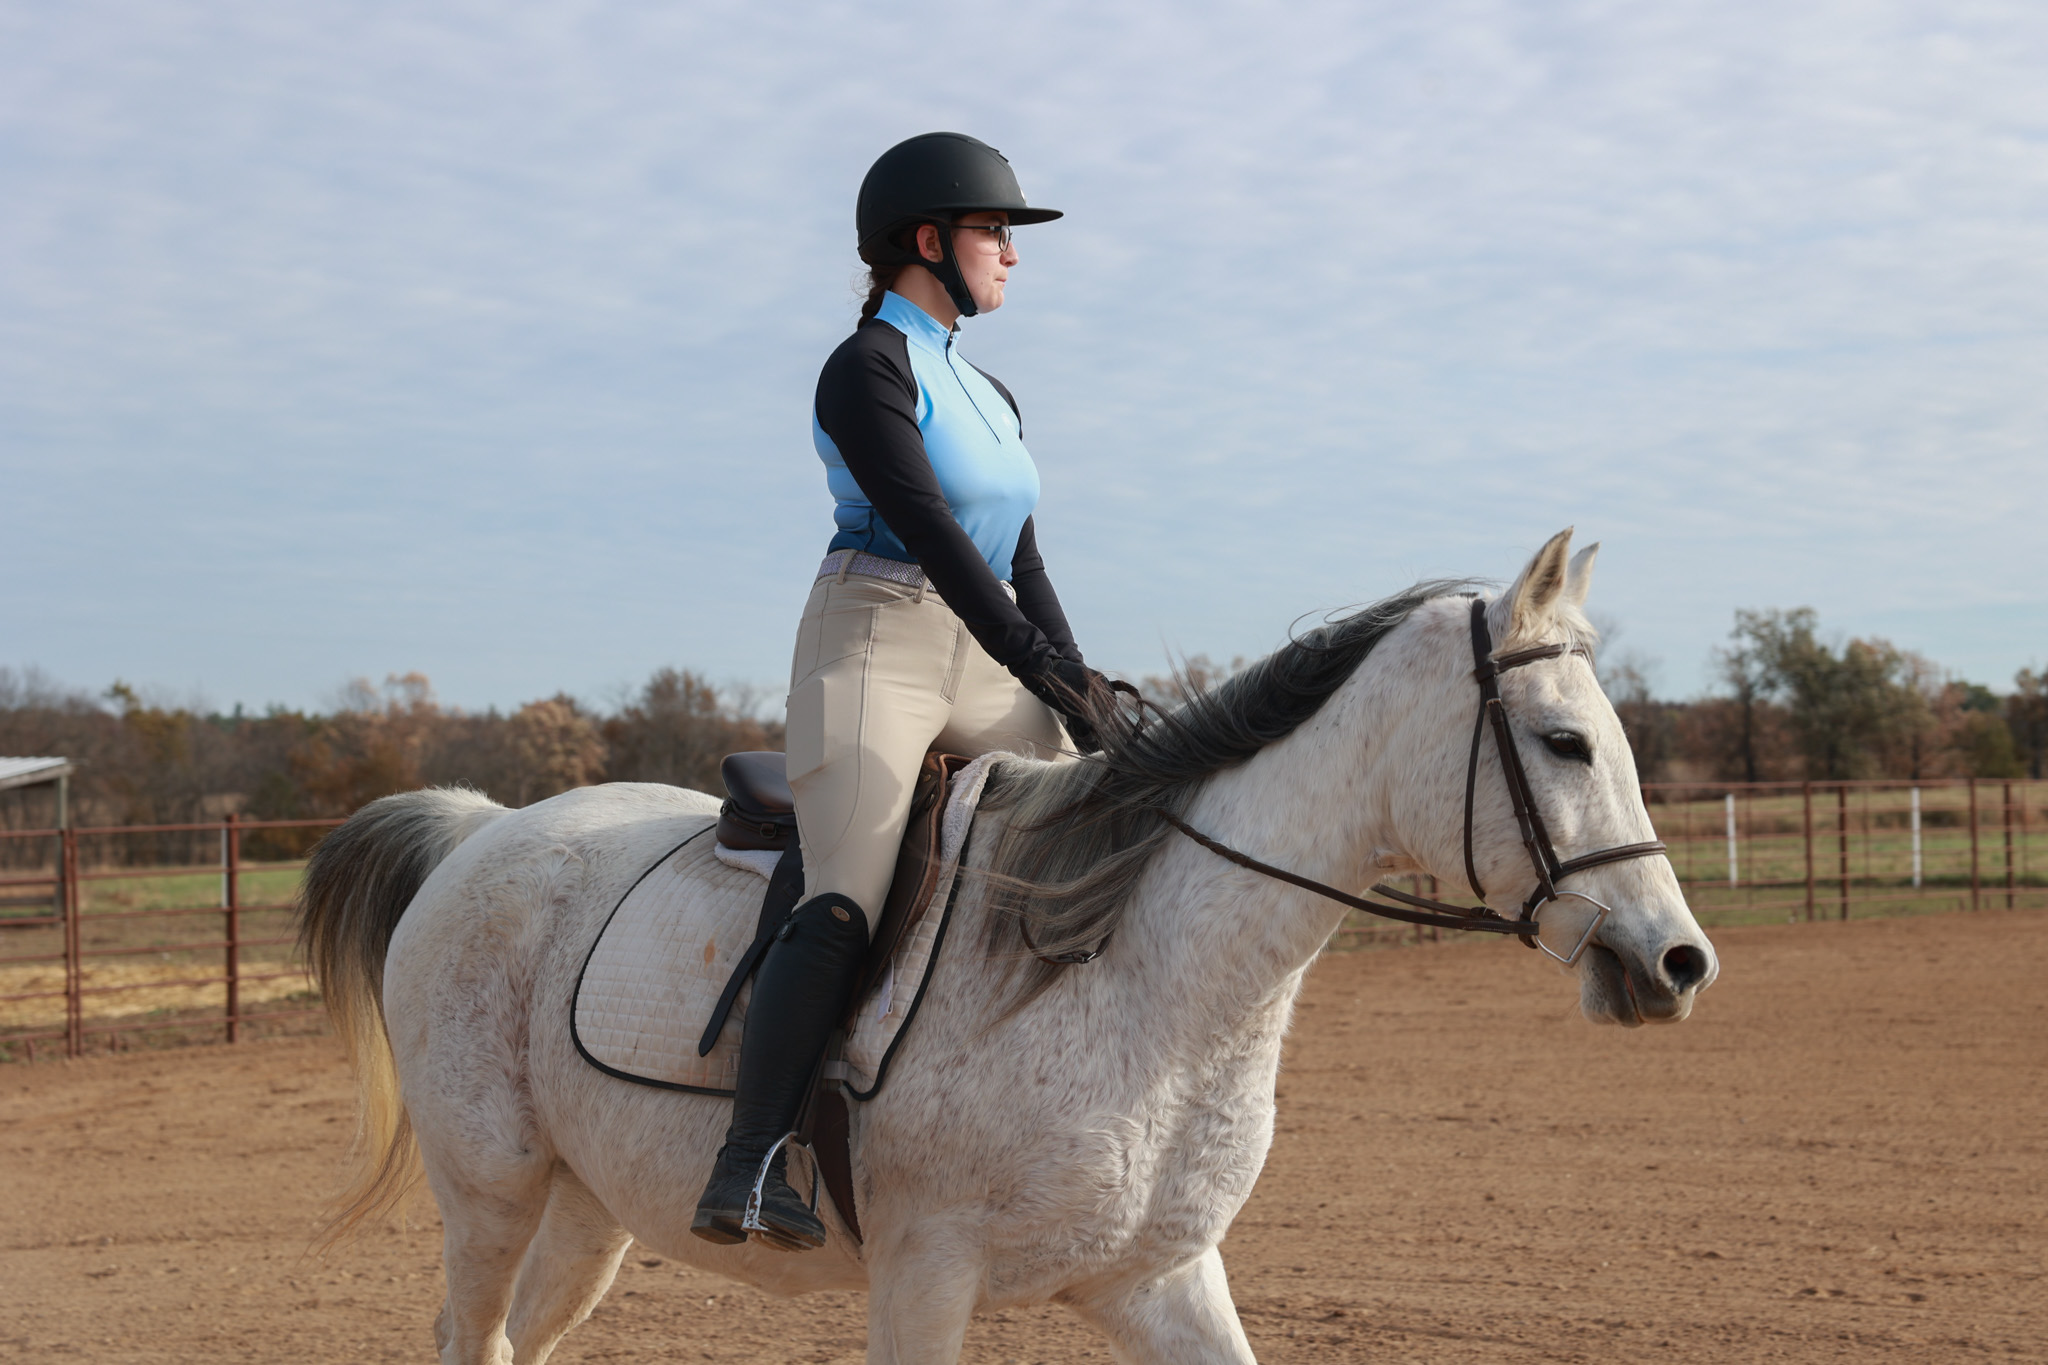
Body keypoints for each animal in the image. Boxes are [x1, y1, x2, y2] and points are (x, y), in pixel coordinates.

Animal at [297, 529, 1717, 1364]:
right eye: (1563, 742)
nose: (1675, 963)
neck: (1145, 985)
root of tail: (485, 829)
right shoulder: (925, 1283)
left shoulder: (1162, 1280)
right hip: (489, 1191)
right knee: (467, 1330)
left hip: (589, 1211)